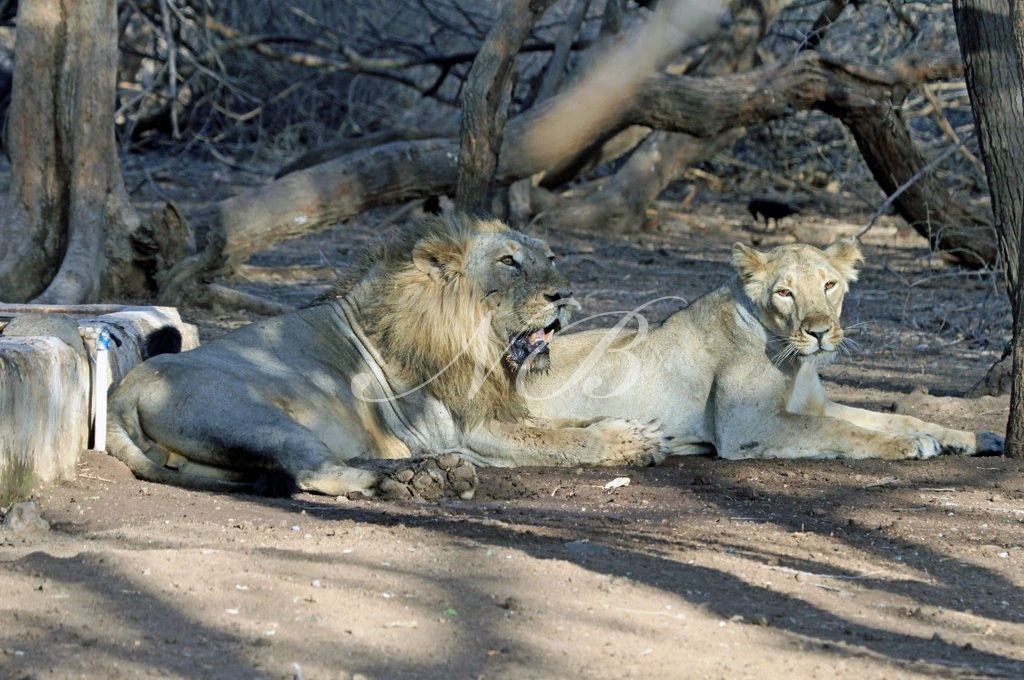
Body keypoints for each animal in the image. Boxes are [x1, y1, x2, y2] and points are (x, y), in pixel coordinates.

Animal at [105, 214, 663, 499]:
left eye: (550, 257)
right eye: (509, 261)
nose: (565, 295)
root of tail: (120, 390)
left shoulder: (494, 409)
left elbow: (562, 422)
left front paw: (635, 428)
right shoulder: (467, 429)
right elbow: (560, 440)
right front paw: (628, 440)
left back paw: (426, 471)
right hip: (259, 417)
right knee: (314, 472)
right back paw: (413, 479)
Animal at [524, 236, 1003, 458]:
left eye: (829, 285)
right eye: (785, 293)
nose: (819, 332)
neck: (798, 361)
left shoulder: (814, 404)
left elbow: (895, 417)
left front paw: (971, 437)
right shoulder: (747, 426)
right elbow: (840, 430)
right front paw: (911, 445)